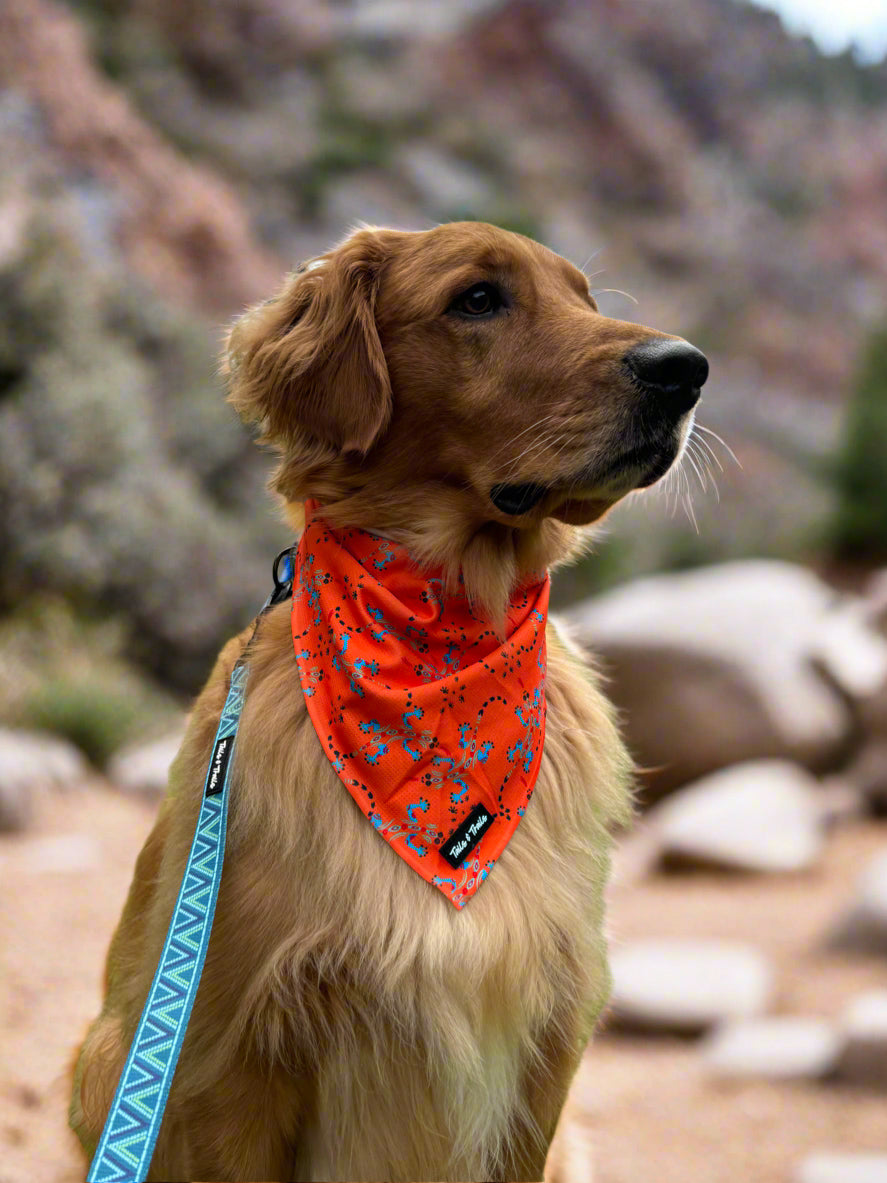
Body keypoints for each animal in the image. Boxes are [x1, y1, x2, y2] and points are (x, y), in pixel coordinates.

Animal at [69, 222, 709, 1183]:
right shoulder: (224, 1060)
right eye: (477, 298)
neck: (440, 645)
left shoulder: (543, 1047)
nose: (685, 368)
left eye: (585, 298)